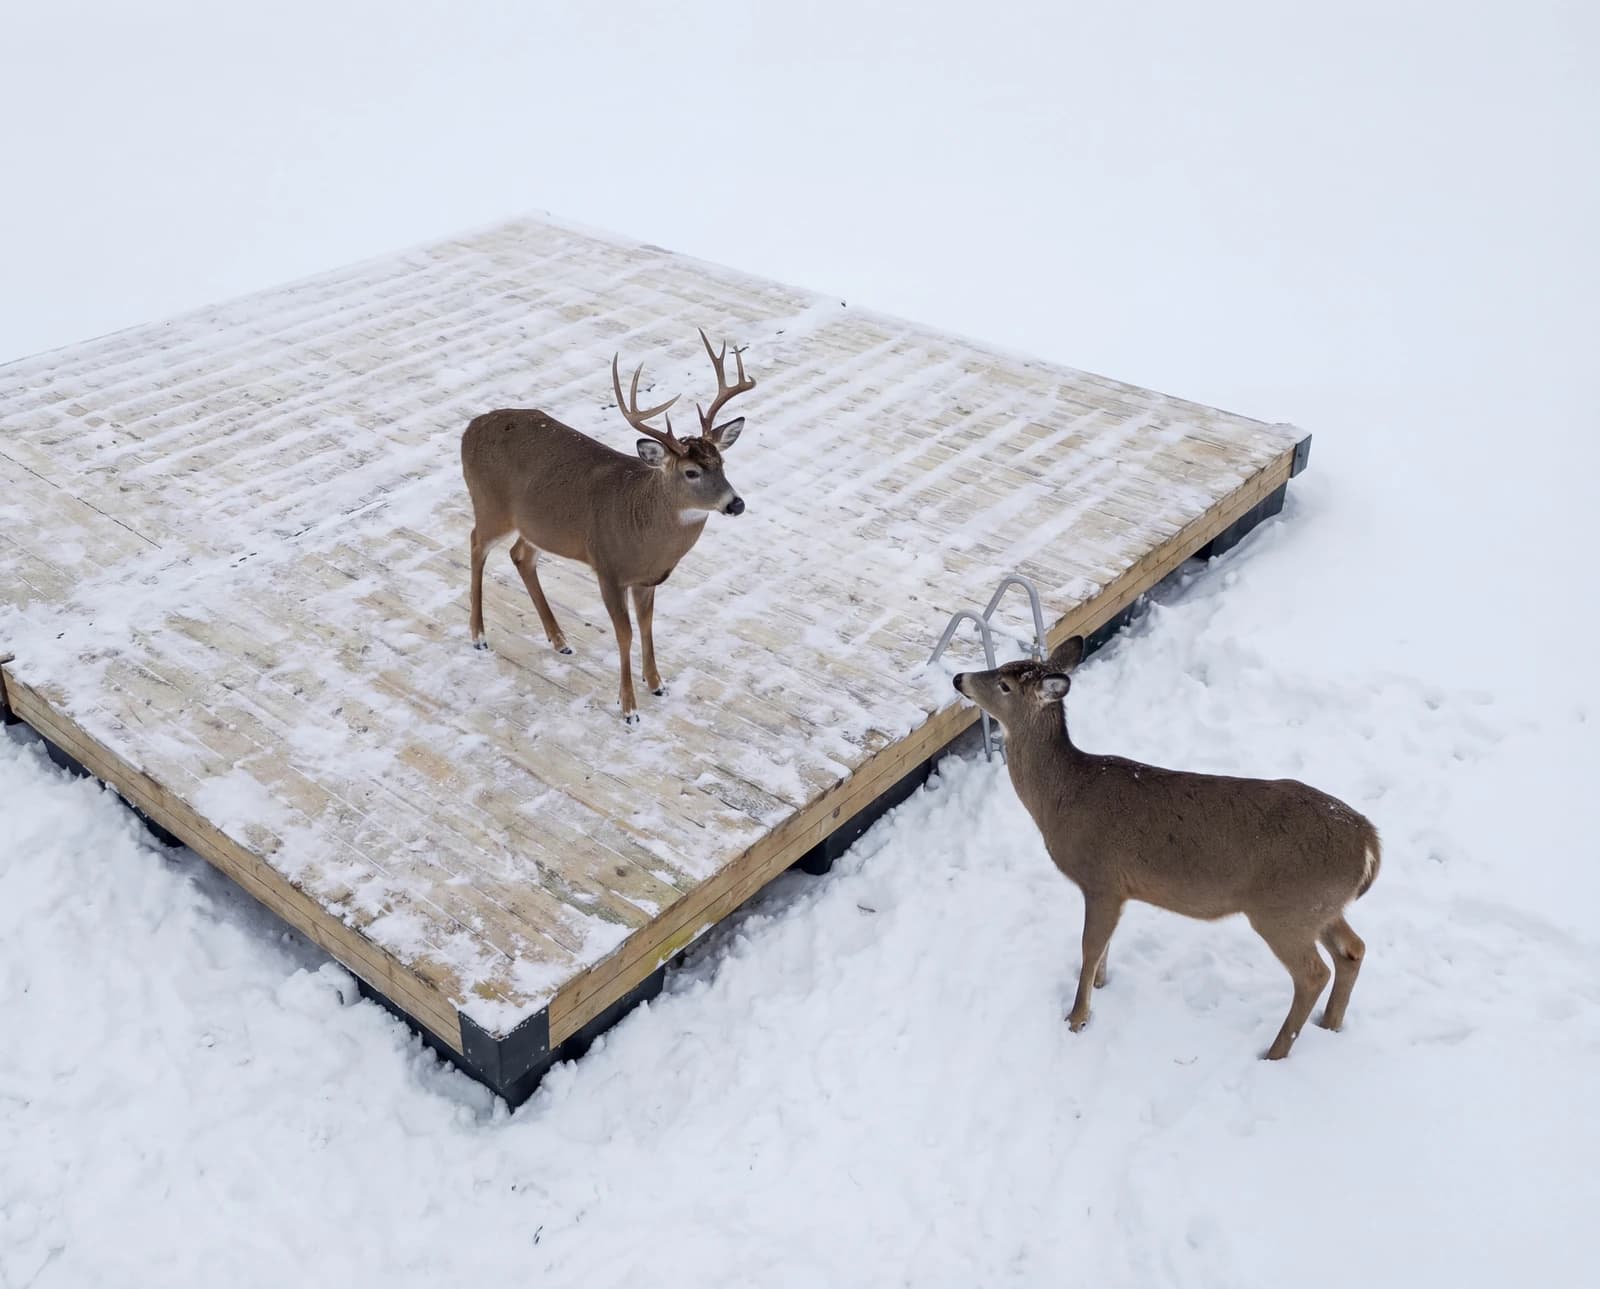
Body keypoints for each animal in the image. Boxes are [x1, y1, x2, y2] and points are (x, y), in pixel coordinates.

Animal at [460, 329, 754, 723]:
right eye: (691, 472)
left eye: (721, 462)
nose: (735, 503)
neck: (642, 525)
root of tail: (470, 427)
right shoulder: (608, 568)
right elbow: (625, 633)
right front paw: (628, 707)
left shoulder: (646, 580)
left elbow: (646, 625)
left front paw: (656, 683)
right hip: (491, 505)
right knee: (476, 543)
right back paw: (478, 635)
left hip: (536, 525)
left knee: (520, 555)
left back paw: (560, 640)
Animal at [952, 636, 1381, 1059]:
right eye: (1002, 667)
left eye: (1004, 685)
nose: (959, 678)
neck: (1061, 798)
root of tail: (1369, 842)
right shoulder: (1120, 889)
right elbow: (1104, 946)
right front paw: (1103, 986)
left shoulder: (1102, 879)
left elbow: (1090, 947)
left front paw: (1077, 1018)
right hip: (1319, 907)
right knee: (1353, 949)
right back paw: (1331, 1024)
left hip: (1283, 910)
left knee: (1313, 973)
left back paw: (1274, 1053)